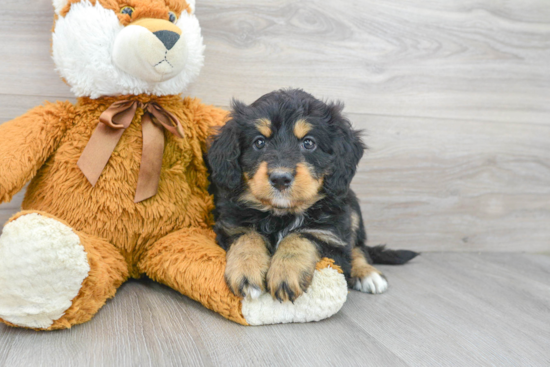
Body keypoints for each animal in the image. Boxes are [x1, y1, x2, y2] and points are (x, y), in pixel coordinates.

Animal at [208, 89, 418, 302]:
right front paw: (246, 271)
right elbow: (248, 236)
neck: (282, 215)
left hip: (352, 208)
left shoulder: (331, 236)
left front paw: (286, 273)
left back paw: (368, 273)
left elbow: (302, 235)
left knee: (358, 247)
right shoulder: (231, 226)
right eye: (259, 142)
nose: (280, 179)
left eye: (308, 143)